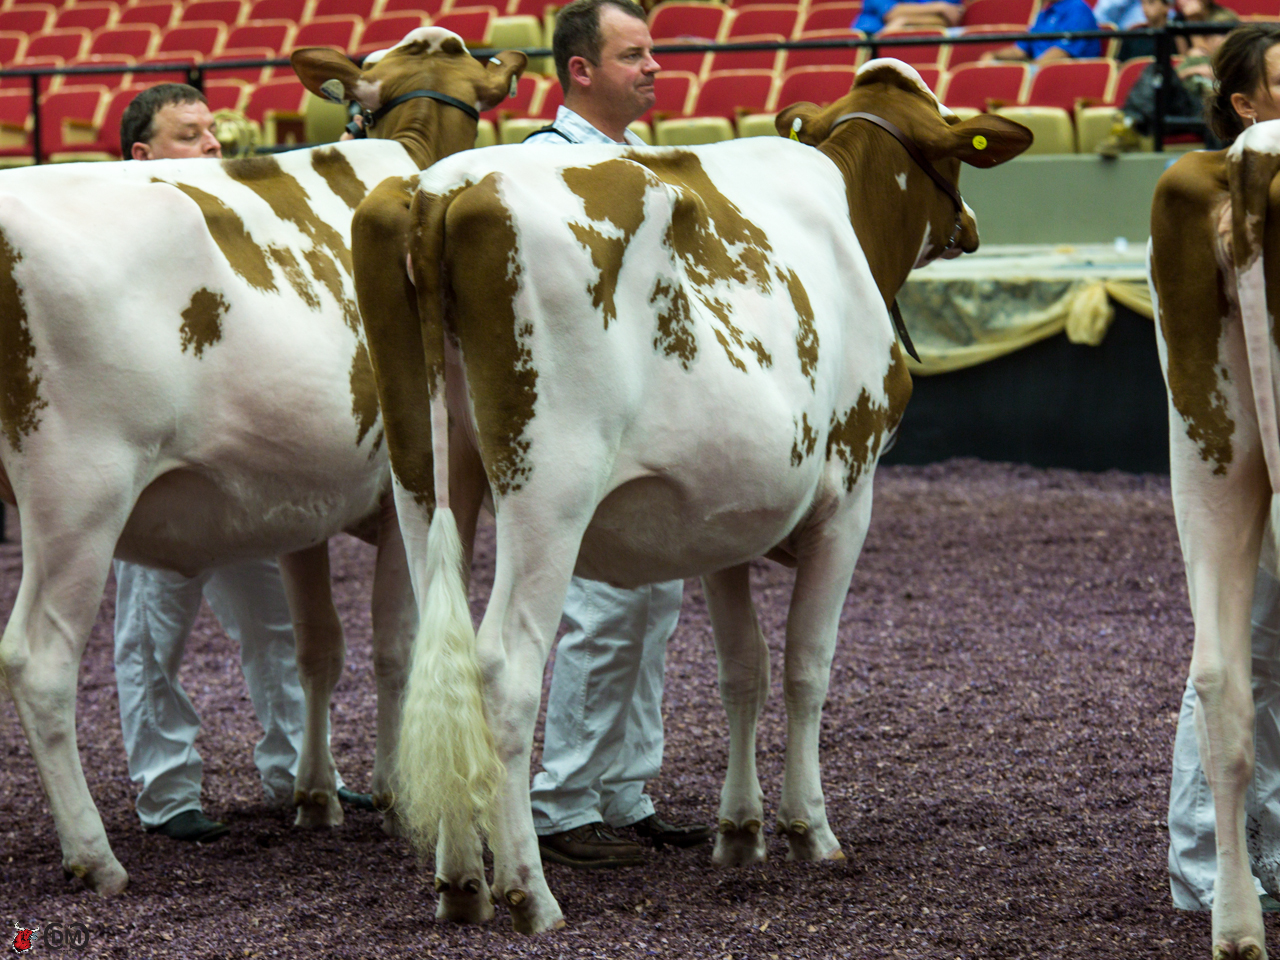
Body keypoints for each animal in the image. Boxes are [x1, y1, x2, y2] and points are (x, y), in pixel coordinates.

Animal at [0, 28, 526, 897]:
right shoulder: (423, 489)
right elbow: (394, 646)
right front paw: (391, 789)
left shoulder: (298, 504)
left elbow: (316, 649)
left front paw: (318, 793)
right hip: (78, 490)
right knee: (39, 661)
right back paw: (94, 855)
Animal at [350, 59, 1032, 933]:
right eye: (953, 138)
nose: (972, 225)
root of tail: (442, 187)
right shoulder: (851, 496)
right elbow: (808, 666)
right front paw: (810, 830)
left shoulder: (722, 520)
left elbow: (742, 669)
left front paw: (740, 832)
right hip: (549, 486)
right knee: (504, 665)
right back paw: (530, 892)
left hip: (424, 473)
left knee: (444, 659)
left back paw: (462, 883)